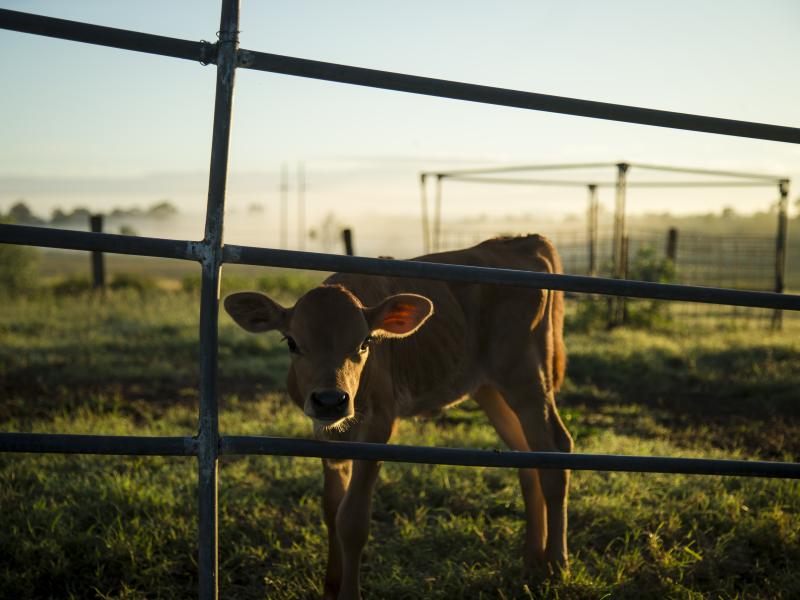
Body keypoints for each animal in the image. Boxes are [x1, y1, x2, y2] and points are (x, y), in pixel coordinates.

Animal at [224, 235, 573, 600]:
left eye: (365, 342)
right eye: (292, 342)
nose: (331, 401)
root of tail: (524, 240)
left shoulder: (378, 426)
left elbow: (352, 520)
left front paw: (348, 592)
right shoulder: (325, 433)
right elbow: (332, 508)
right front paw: (332, 584)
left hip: (527, 378)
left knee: (556, 450)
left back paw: (556, 563)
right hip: (490, 389)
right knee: (528, 458)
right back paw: (532, 558)